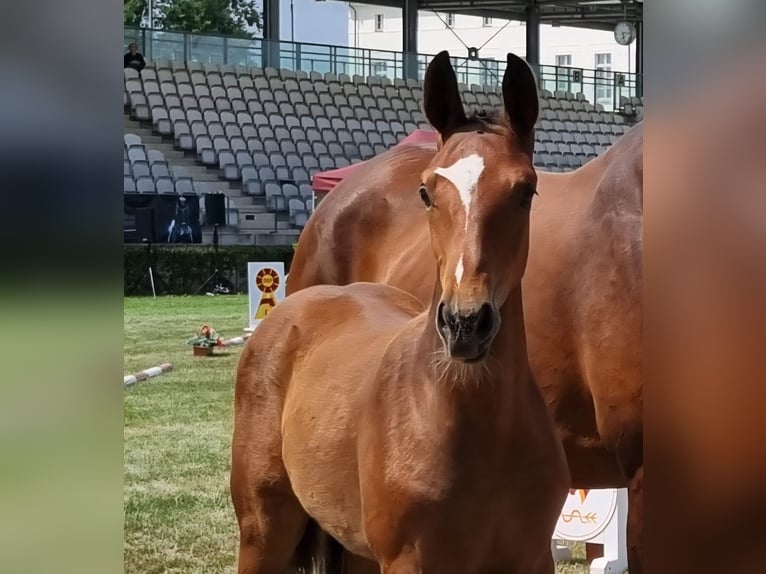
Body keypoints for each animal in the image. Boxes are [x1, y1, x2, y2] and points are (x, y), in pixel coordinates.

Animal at [230, 51, 570, 574]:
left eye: (526, 190)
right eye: (427, 192)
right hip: (264, 535)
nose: (465, 324)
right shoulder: (410, 561)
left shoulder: (533, 558)